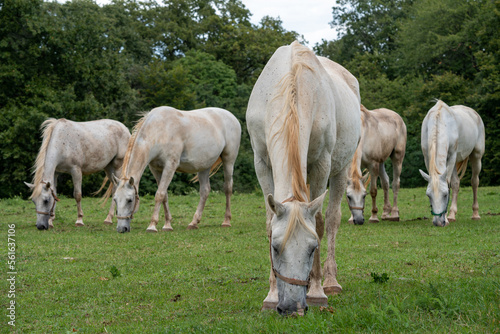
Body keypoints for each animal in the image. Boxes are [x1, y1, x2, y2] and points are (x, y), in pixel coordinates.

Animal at [112, 105, 241, 234]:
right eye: (115, 200)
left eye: (129, 200)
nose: (121, 228)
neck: (160, 130)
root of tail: (232, 117)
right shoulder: (156, 169)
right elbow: (164, 195)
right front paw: (167, 225)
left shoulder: (170, 166)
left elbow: (159, 194)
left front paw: (152, 225)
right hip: (204, 166)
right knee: (205, 191)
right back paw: (193, 223)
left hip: (228, 161)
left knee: (228, 188)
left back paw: (226, 221)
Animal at [245, 40, 360, 314]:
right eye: (275, 248)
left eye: (312, 248)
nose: (291, 307)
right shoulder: (261, 163)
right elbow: (269, 223)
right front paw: (271, 295)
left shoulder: (322, 164)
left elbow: (317, 223)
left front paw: (317, 291)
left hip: (340, 169)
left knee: (332, 219)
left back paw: (331, 281)